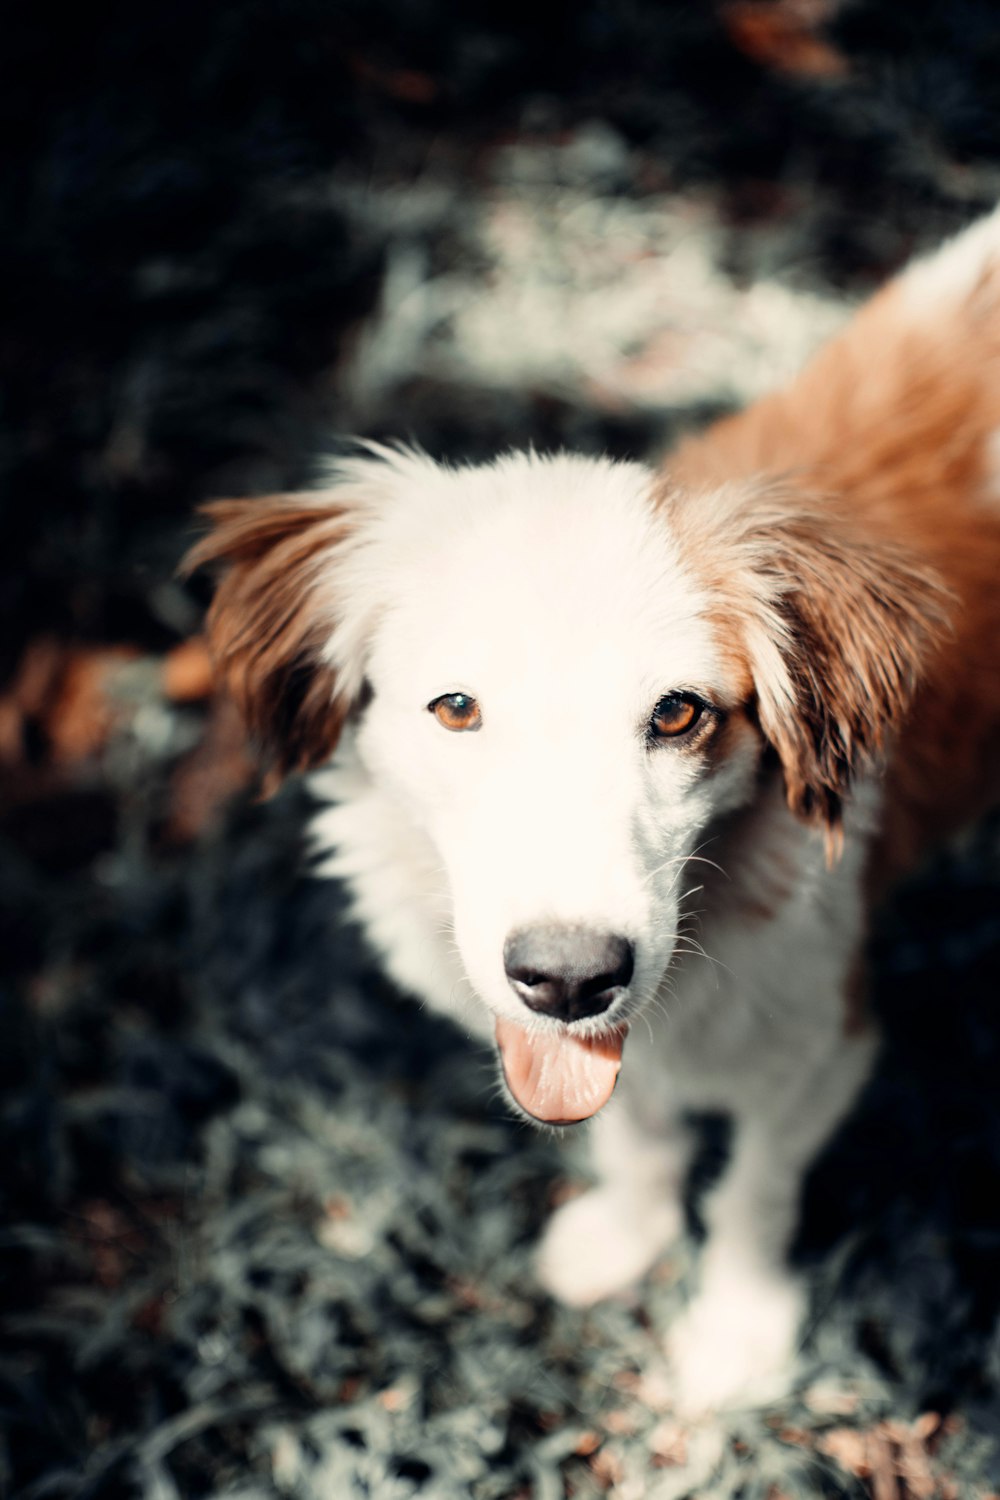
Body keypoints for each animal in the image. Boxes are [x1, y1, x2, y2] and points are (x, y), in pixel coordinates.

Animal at [183, 211, 1000, 1416]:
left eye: (678, 712)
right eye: (457, 706)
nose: (568, 979)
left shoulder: (821, 1040)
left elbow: (754, 1191)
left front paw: (739, 1330)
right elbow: (641, 1135)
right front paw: (628, 1235)